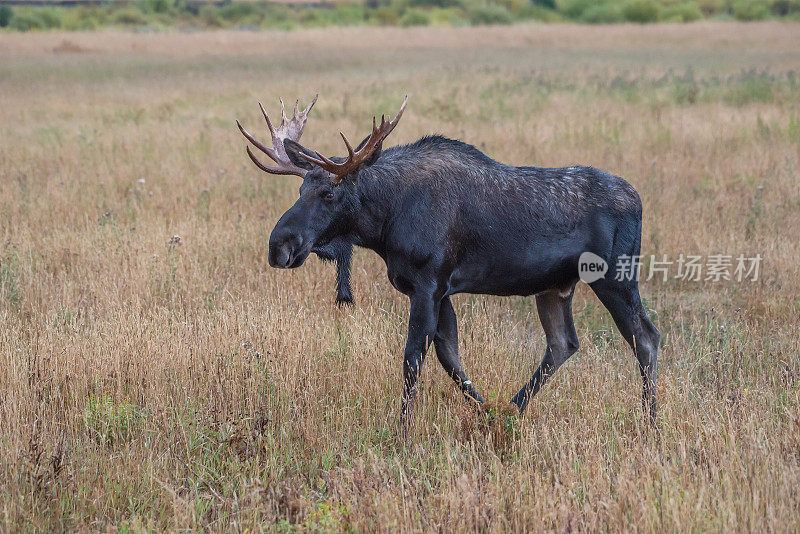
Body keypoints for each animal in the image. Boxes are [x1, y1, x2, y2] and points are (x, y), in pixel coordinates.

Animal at [234, 97, 660, 432]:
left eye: (328, 193)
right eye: (300, 188)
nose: (279, 246)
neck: (384, 222)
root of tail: (638, 198)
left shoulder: (429, 283)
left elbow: (413, 358)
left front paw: (402, 430)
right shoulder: (439, 290)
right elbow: (449, 355)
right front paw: (487, 410)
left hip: (615, 277)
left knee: (645, 336)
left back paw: (650, 421)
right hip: (554, 287)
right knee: (563, 343)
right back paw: (514, 407)